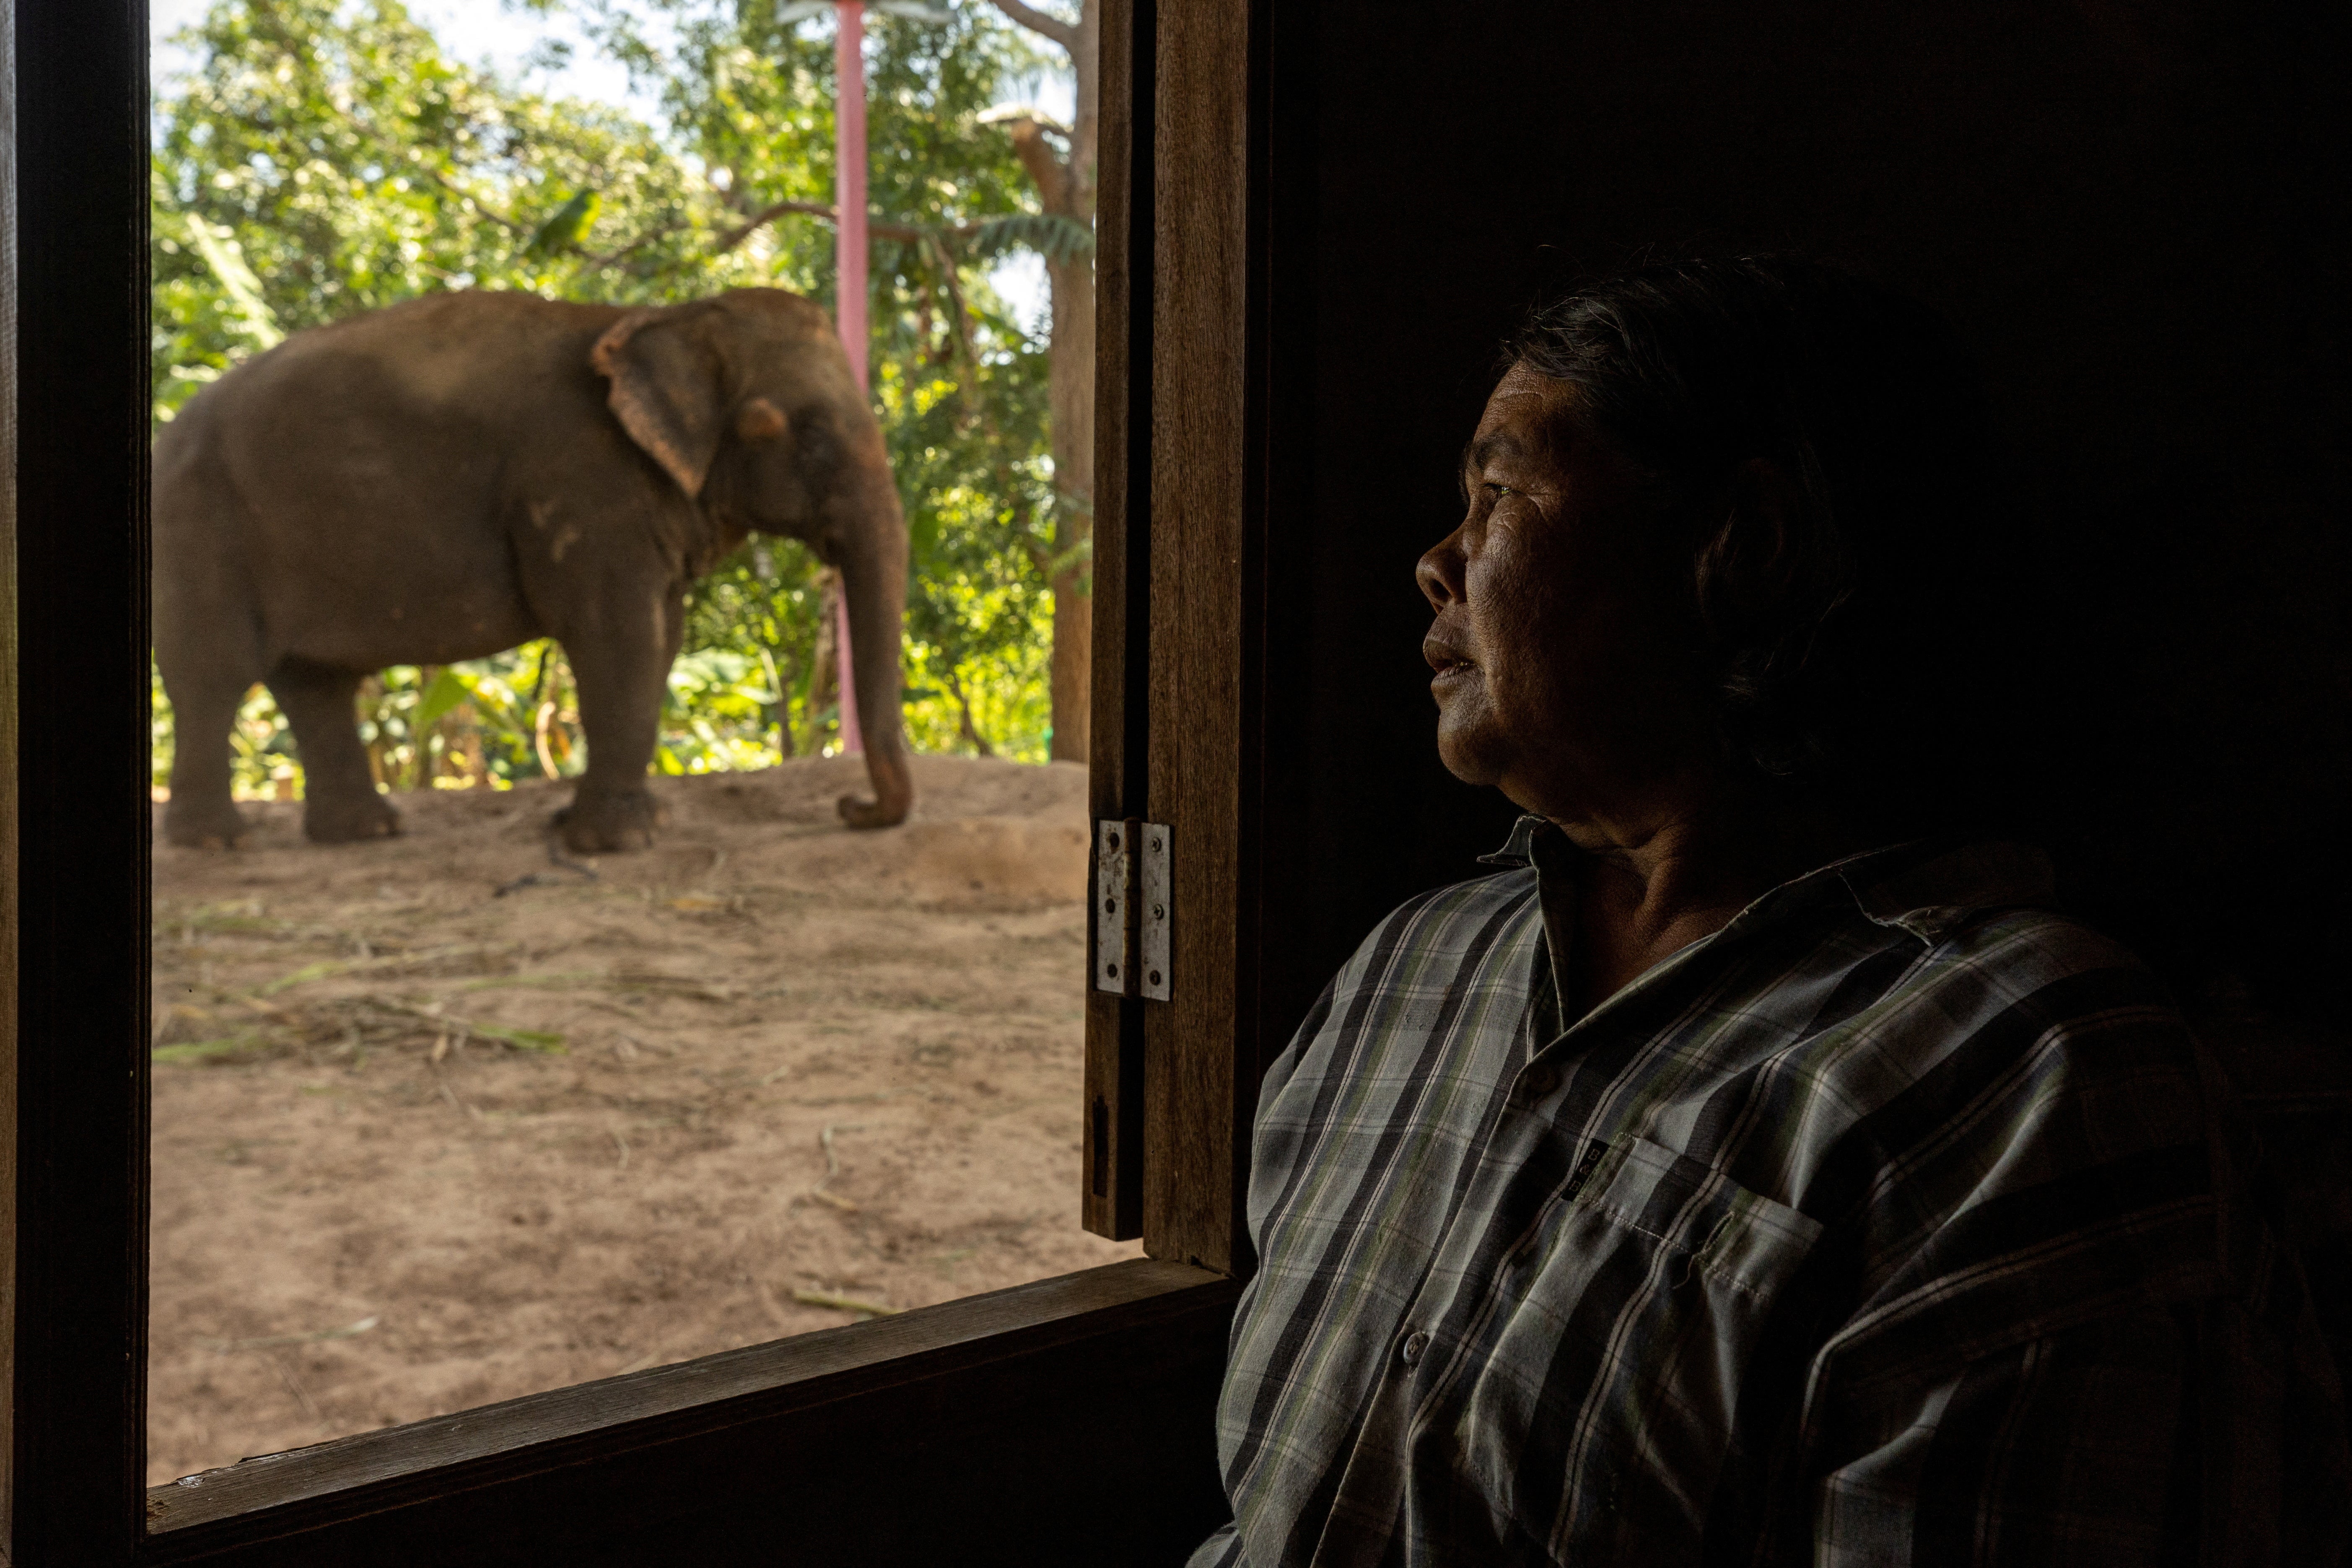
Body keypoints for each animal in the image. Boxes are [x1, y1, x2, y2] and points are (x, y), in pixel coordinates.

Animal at [151, 282, 913, 846]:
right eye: (805, 435)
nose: (850, 807)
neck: (660, 317)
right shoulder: (580, 483)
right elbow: (619, 634)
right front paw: (616, 844)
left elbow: (661, 636)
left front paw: (613, 824)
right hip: (197, 532)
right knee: (214, 675)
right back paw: (216, 841)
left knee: (315, 682)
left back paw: (366, 832)